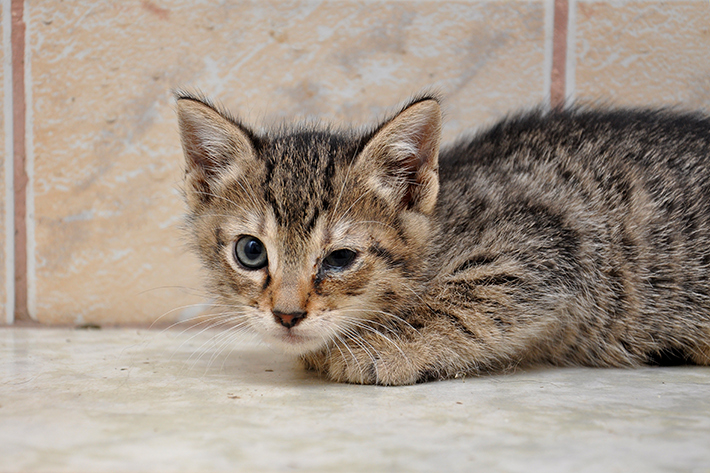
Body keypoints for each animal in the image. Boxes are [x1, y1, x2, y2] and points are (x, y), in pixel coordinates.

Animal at [177, 91, 710, 384]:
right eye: (251, 252)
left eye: (339, 259)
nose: (287, 315)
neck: (441, 228)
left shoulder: (548, 241)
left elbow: (465, 294)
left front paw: (378, 347)